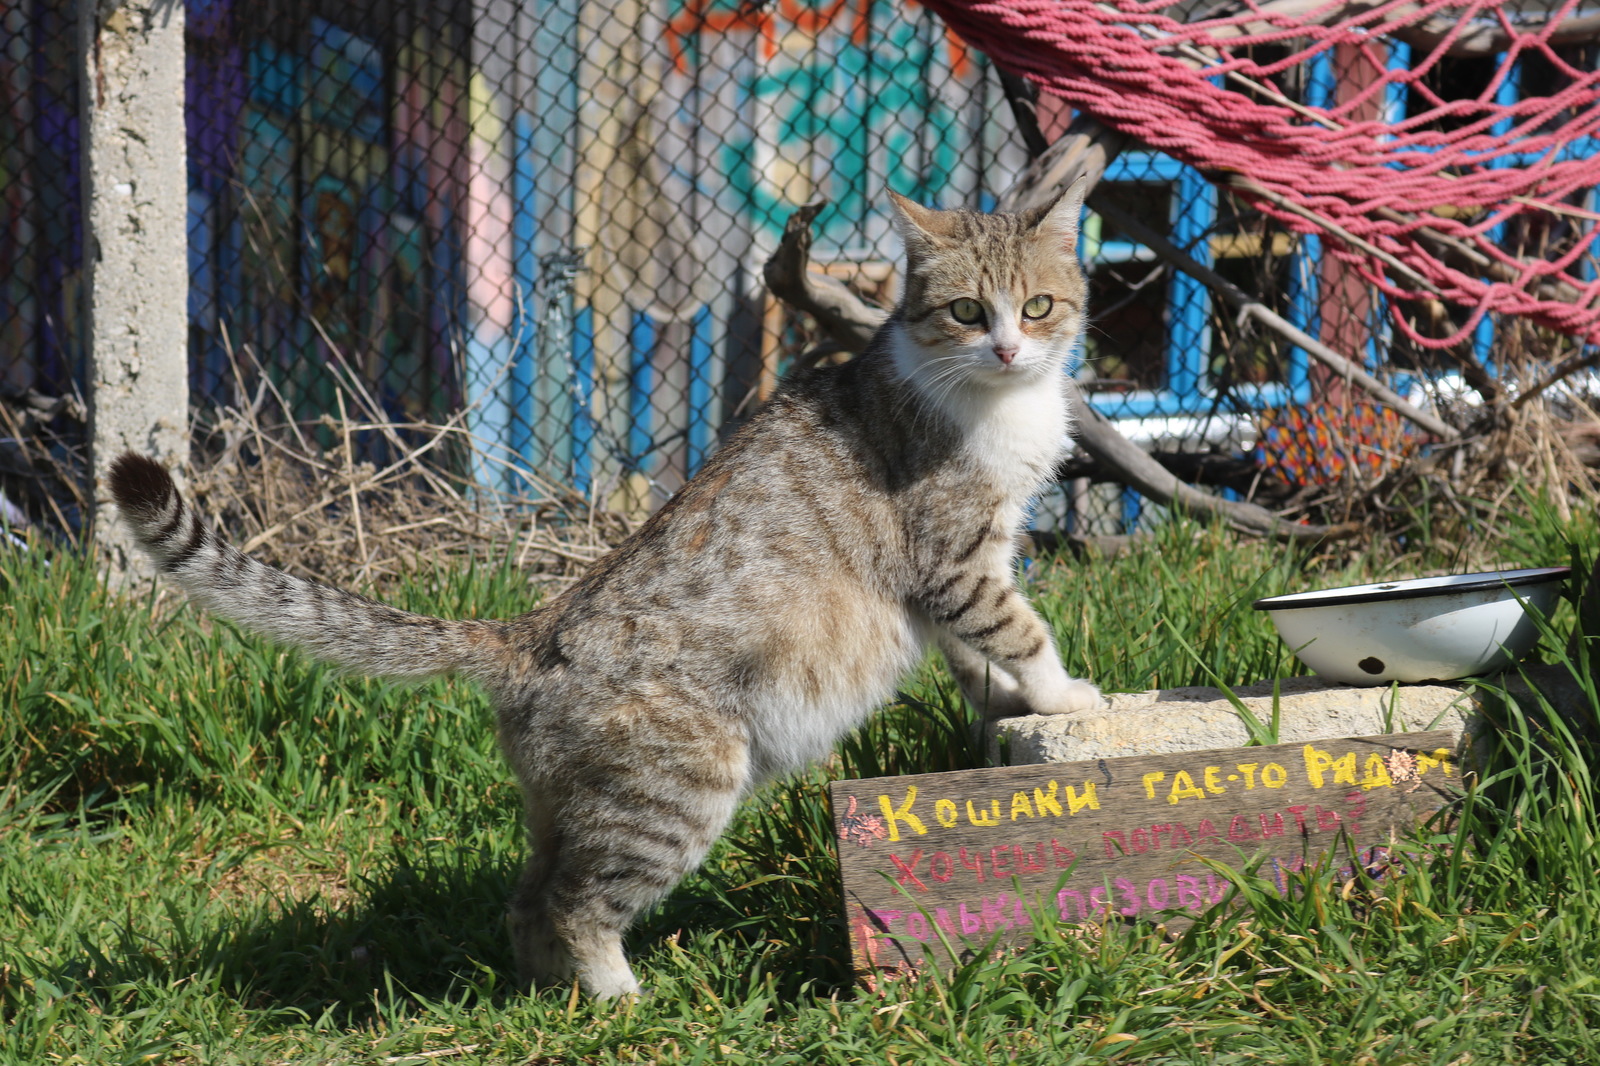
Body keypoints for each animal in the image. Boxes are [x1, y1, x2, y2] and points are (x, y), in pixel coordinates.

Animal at [109, 184, 1100, 998]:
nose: (1009, 346)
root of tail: (526, 632)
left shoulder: (964, 572)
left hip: (573, 806)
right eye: (967, 311)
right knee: (577, 903)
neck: (993, 401)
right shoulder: (956, 558)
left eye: (1038, 306)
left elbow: (980, 659)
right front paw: (1067, 697)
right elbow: (1018, 631)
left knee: (528, 897)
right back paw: (620, 997)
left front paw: (1011, 705)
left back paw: (548, 997)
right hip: (678, 791)